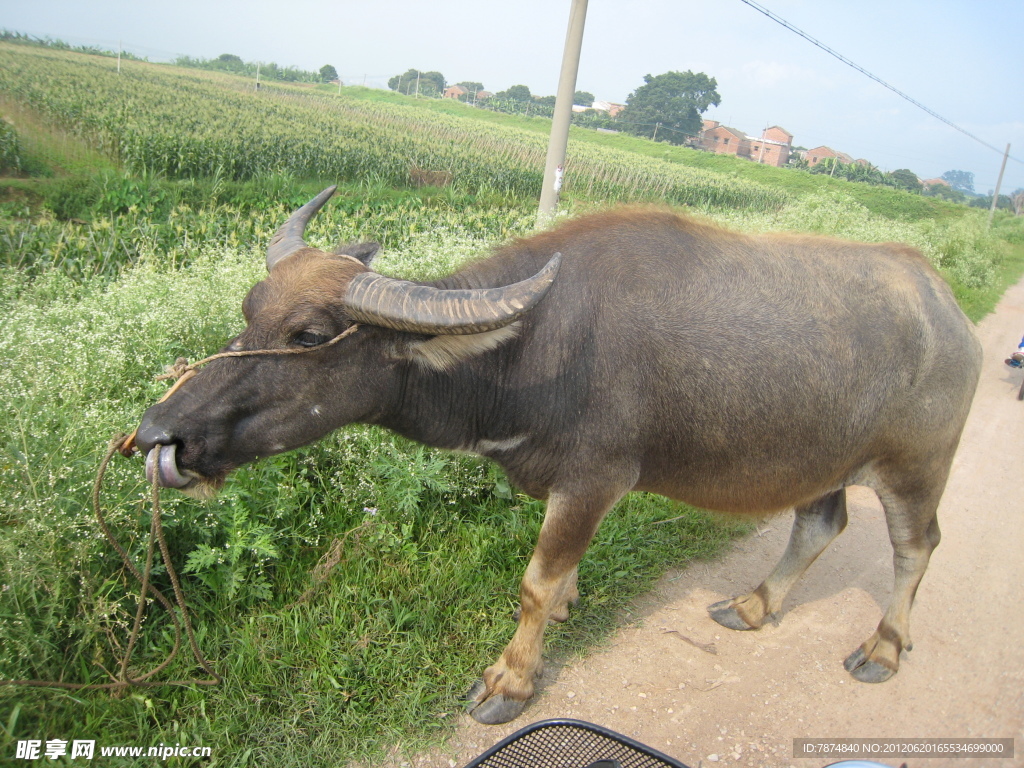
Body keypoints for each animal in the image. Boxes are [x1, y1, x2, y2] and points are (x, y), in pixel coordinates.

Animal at [132, 188, 978, 729]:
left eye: (308, 335)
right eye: (249, 310)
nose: (159, 434)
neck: (530, 350)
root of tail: (948, 308)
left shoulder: (595, 478)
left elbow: (534, 582)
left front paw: (510, 678)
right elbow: (558, 574)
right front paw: (569, 604)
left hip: (915, 468)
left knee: (917, 547)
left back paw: (882, 647)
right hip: (821, 460)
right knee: (821, 525)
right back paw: (753, 605)